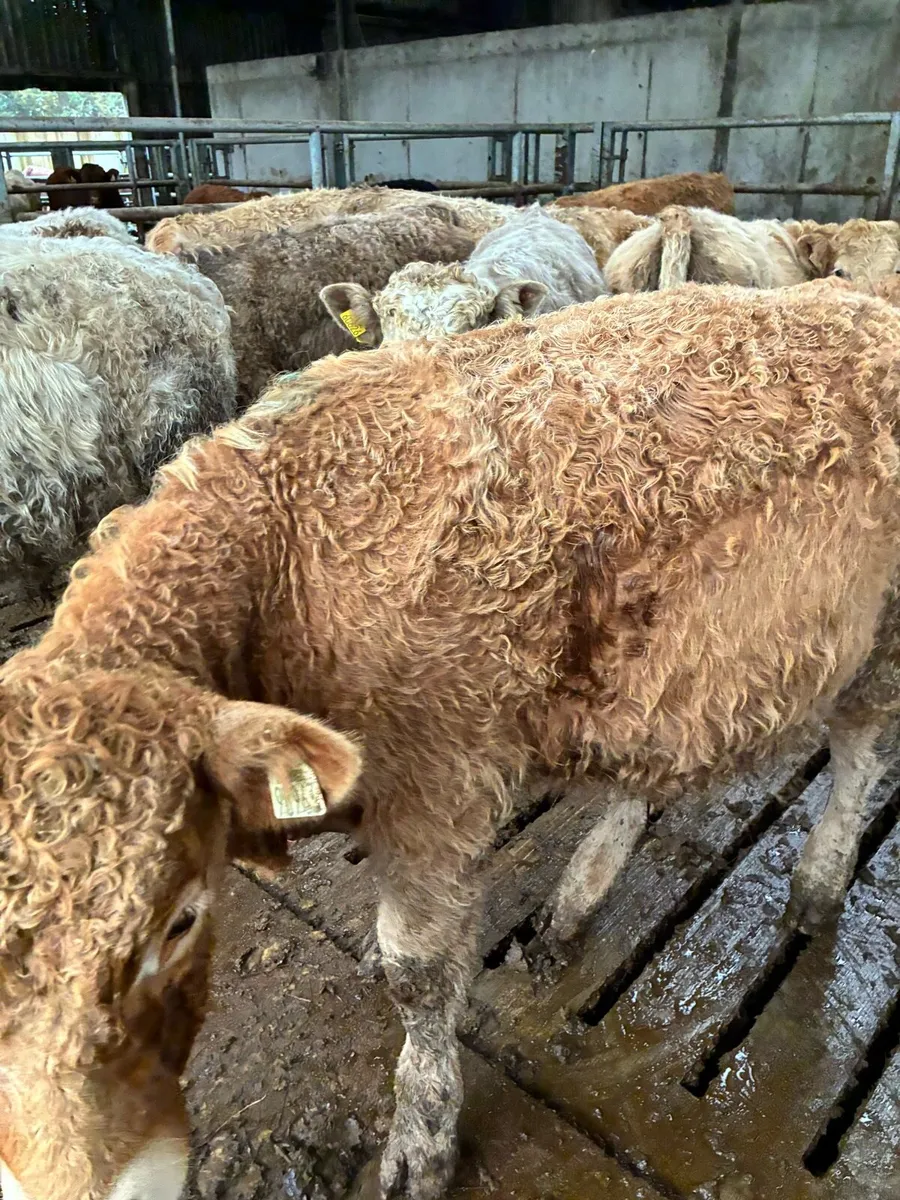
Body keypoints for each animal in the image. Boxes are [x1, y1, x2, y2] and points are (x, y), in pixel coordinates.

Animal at [2, 281, 899, 1200]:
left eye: (180, 921)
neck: (281, 550)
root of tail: (856, 295)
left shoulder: (435, 782)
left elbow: (418, 974)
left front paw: (421, 1136)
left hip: (881, 641)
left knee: (860, 751)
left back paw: (817, 887)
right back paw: (579, 896)